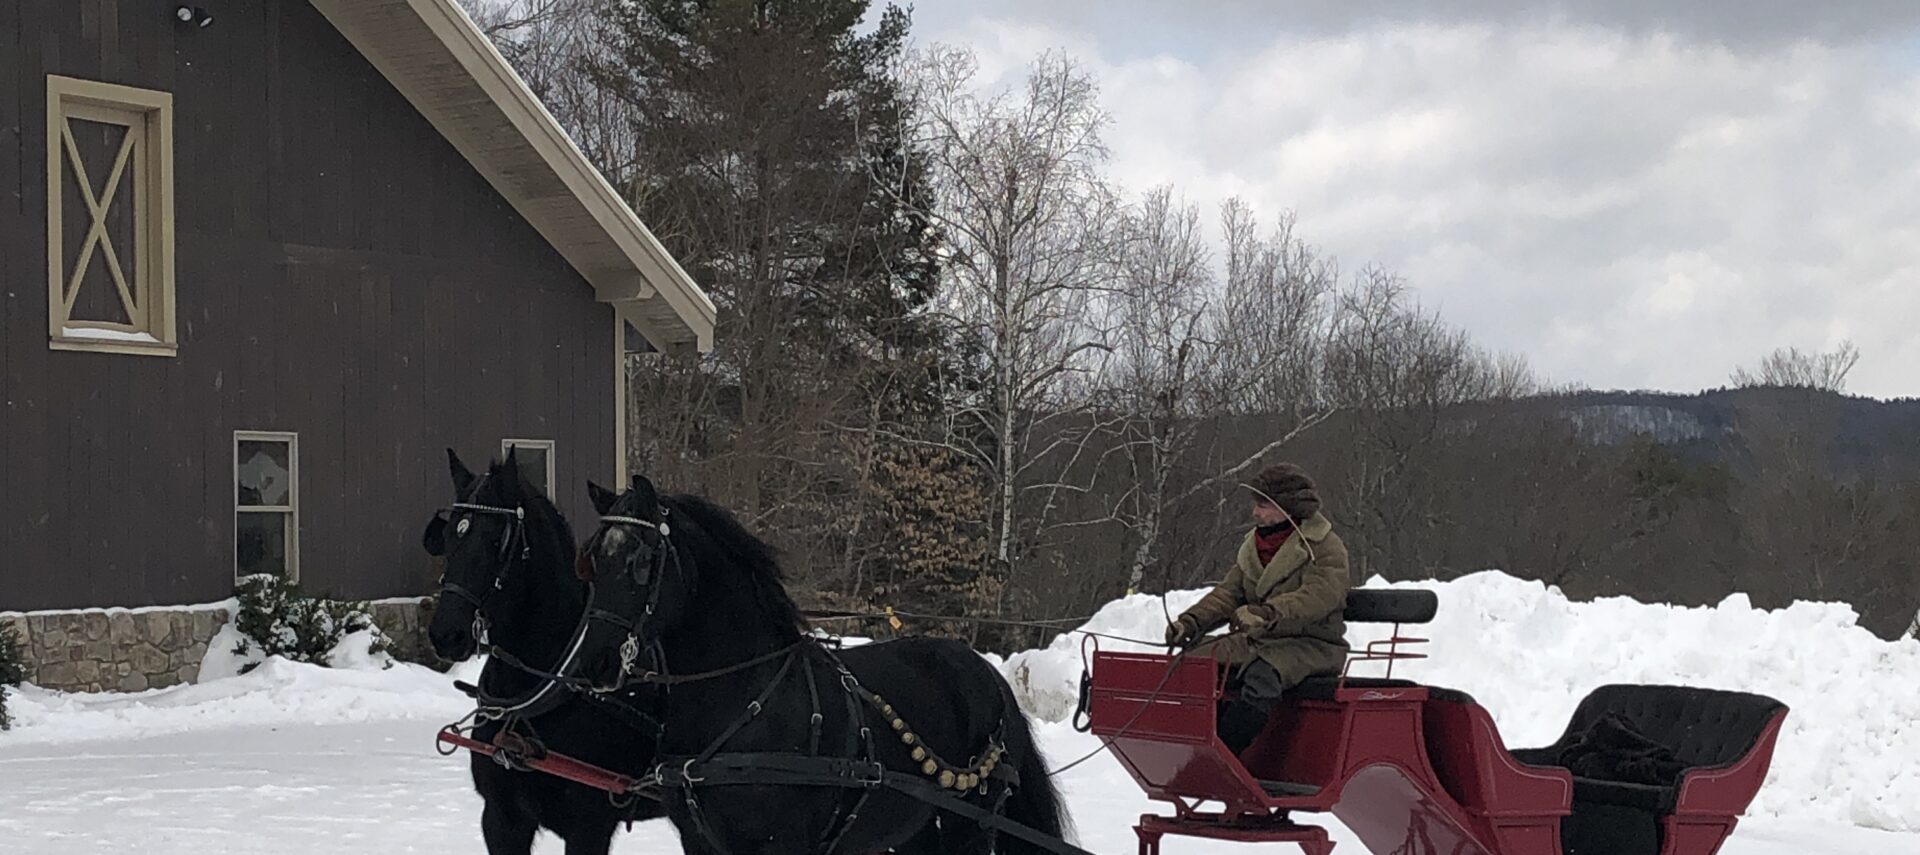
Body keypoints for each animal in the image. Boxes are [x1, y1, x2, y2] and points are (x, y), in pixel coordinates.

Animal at [576, 472, 1075, 853]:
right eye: (593, 560)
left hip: (969, 822)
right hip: (912, 830)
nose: (592, 664)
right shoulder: (699, 841)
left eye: (642, 560)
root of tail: (990, 677)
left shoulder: (782, 843)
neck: (744, 701)